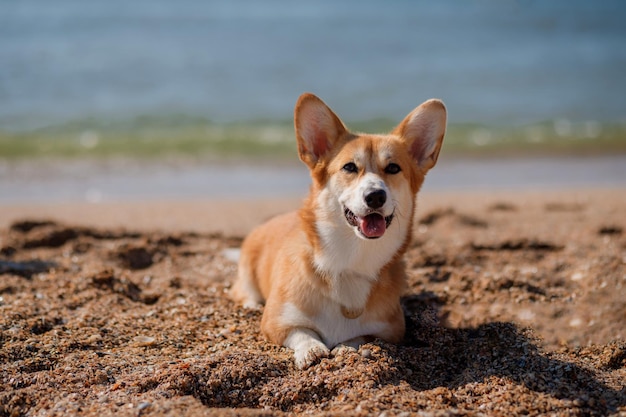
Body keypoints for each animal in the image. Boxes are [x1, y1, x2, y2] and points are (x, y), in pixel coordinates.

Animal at [229, 93, 444, 368]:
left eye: (393, 168)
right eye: (349, 167)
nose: (375, 196)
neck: (351, 260)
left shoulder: (389, 330)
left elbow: (359, 337)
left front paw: (345, 348)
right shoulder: (277, 322)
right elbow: (302, 332)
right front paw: (312, 350)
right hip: (247, 273)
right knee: (243, 293)